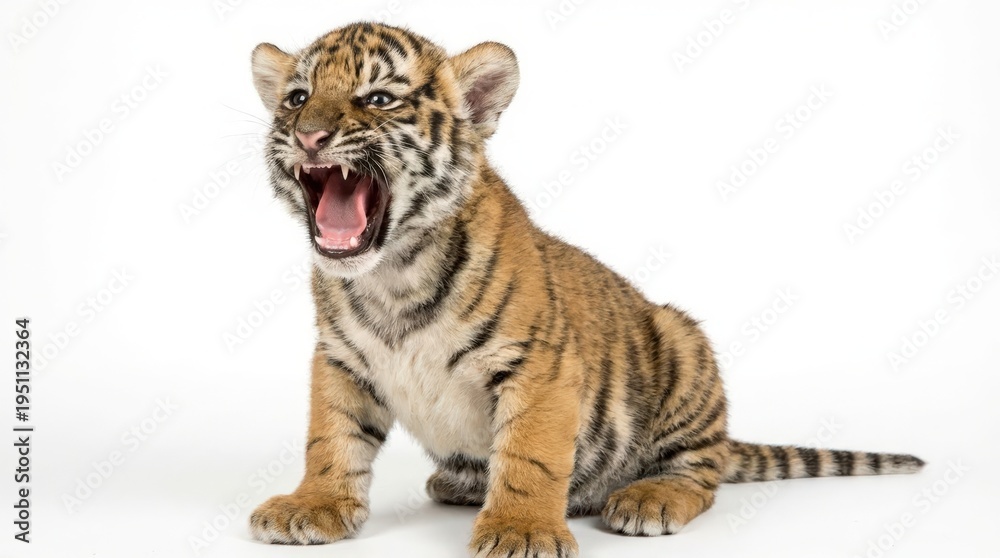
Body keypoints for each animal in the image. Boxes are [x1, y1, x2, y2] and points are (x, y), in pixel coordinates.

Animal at [246, 22, 924, 558]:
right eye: (298, 98)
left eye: (379, 99)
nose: (308, 136)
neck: (392, 272)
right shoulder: (339, 361)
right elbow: (331, 438)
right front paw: (312, 505)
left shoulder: (537, 365)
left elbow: (531, 455)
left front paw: (520, 529)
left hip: (683, 343)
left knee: (700, 473)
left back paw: (649, 499)